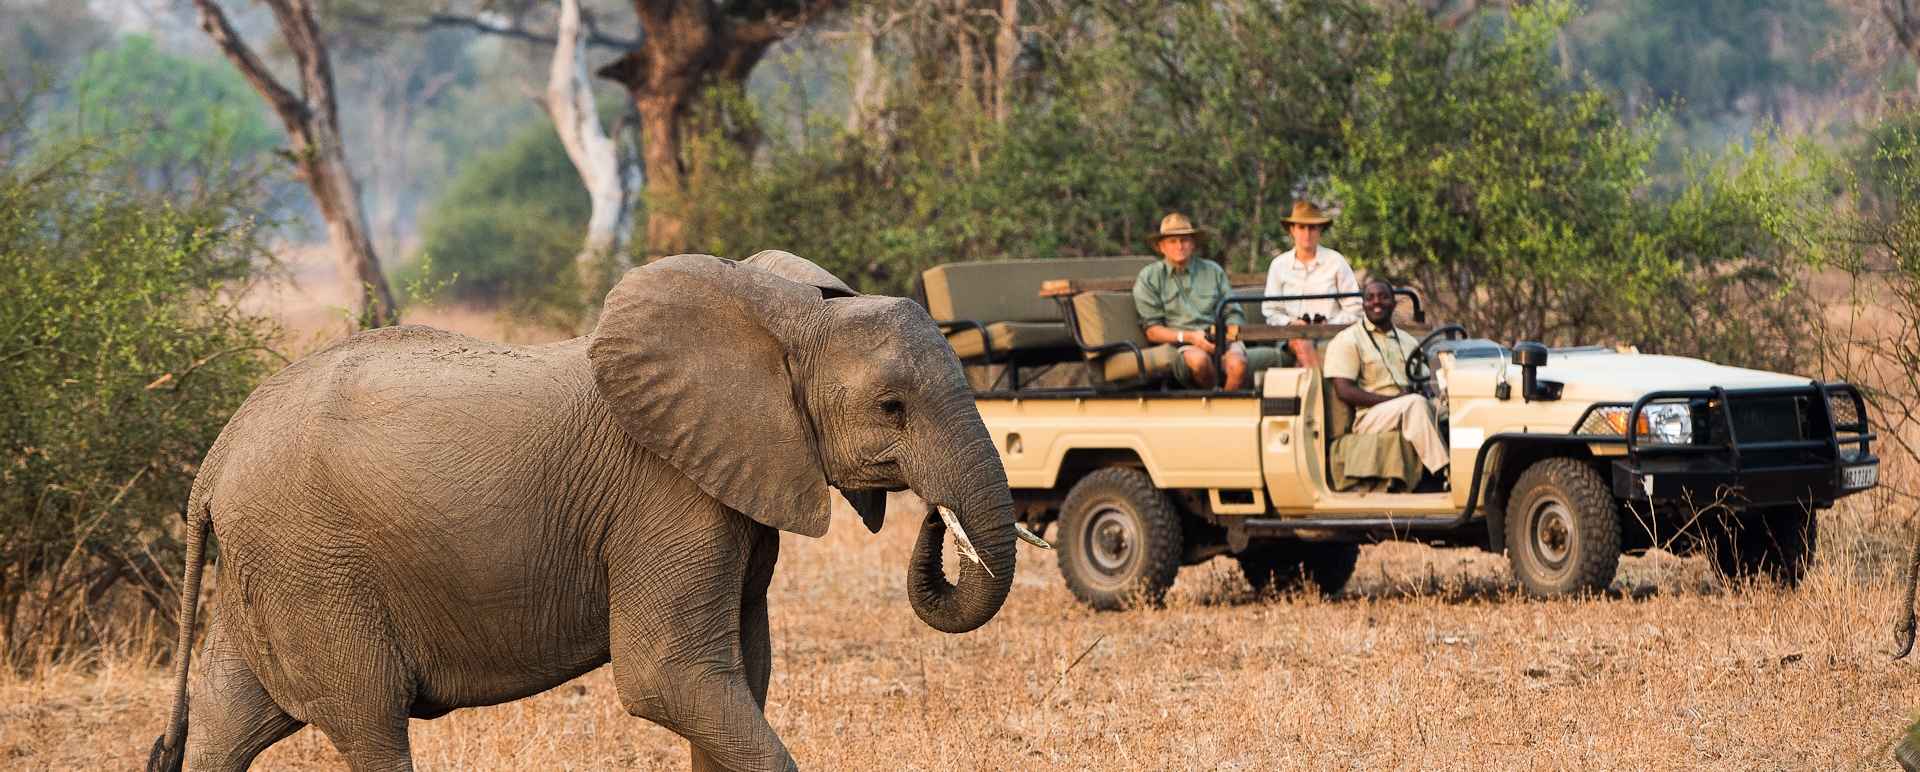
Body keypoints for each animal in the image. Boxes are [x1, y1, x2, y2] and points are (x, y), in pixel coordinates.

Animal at [145, 251, 1031, 771]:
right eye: (892, 409)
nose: (935, 521)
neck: (781, 312)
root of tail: (215, 460)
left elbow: (741, 670)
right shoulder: (666, 493)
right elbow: (667, 675)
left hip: (273, 565)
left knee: (229, 718)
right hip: (312, 563)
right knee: (370, 722)